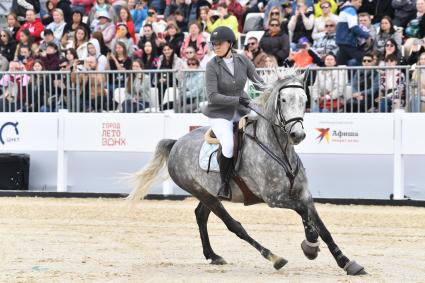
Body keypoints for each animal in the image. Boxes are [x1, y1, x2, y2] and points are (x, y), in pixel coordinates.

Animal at [128, 70, 364, 276]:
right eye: (283, 100)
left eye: (304, 99)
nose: (298, 134)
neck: (280, 150)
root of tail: (176, 143)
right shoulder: (274, 198)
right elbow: (304, 214)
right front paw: (310, 245)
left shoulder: (304, 194)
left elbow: (322, 227)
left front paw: (347, 263)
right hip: (201, 191)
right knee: (234, 226)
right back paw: (274, 257)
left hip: (209, 193)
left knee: (201, 216)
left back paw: (213, 255)